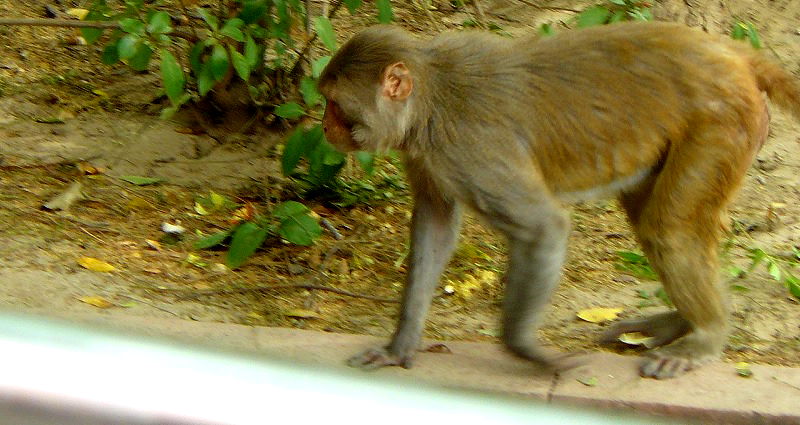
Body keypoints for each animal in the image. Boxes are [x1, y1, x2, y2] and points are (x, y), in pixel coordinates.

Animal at [318, 21, 800, 380]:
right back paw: (683, 322)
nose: (324, 128)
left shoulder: (467, 149)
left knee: (670, 230)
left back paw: (707, 334)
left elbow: (542, 228)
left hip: (721, 122)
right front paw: (399, 346)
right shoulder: (427, 155)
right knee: (658, 220)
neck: (432, 95)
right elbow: (434, 226)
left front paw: (527, 351)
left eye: (335, 105)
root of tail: (730, 52)